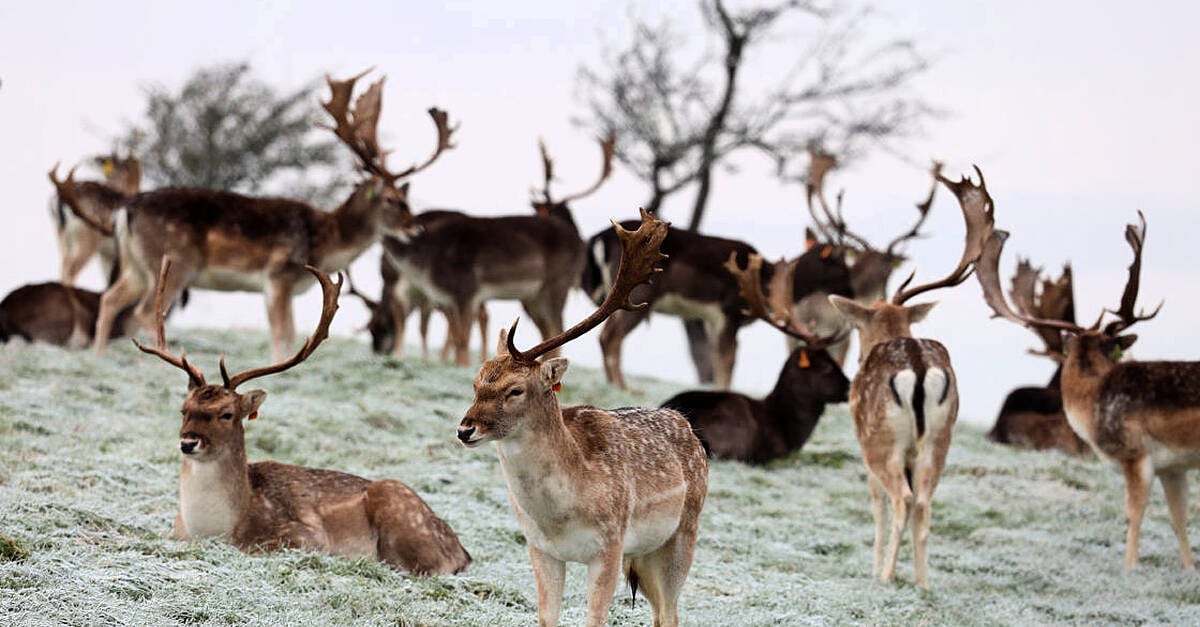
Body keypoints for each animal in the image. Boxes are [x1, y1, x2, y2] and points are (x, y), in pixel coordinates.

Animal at [91, 70, 455, 361]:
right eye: (393, 200)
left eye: (407, 198)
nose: (415, 228)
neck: (325, 240)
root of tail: (126, 209)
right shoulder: (278, 275)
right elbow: (282, 332)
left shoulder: (291, 286)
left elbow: (290, 332)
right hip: (173, 263)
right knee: (143, 312)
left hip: (137, 266)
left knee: (110, 298)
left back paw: (99, 355)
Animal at [134, 258, 471, 575]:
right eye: (184, 409)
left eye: (226, 413)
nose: (188, 442)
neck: (215, 527)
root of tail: (462, 552)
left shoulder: (304, 536)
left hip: (402, 513)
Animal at [380, 134, 613, 366]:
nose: (410, 227)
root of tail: (579, 242)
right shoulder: (450, 298)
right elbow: (459, 336)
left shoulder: (467, 292)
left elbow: (463, 338)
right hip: (536, 296)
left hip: (555, 286)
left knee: (556, 331)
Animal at [457, 210, 707, 627]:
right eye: (476, 381)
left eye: (515, 390)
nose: (465, 429)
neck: (559, 517)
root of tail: (690, 429)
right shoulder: (540, 548)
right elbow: (547, 618)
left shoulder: (610, 545)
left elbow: (595, 619)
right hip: (643, 555)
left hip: (682, 534)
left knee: (671, 613)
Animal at [828, 166, 994, 589]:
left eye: (858, 325)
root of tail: (918, 367)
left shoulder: (865, 449)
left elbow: (877, 509)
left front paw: (874, 570)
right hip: (939, 440)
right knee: (924, 501)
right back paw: (923, 583)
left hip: (882, 441)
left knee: (901, 499)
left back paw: (887, 576)